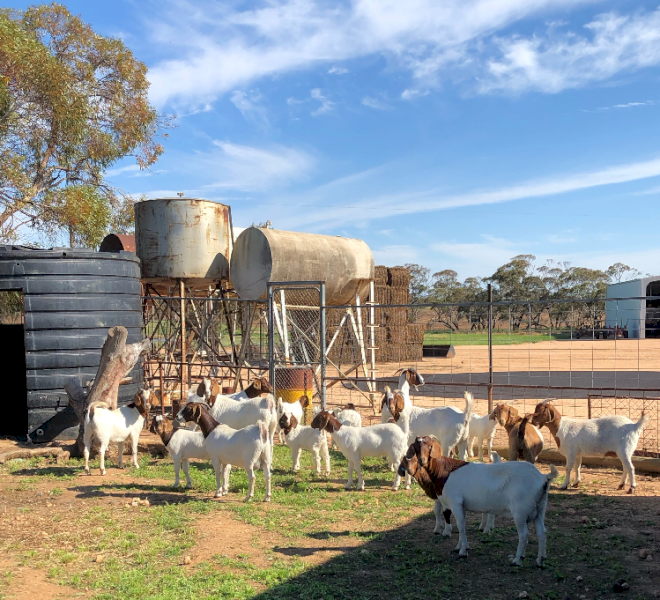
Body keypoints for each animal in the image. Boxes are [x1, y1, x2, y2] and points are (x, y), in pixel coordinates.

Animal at [398, 436, 558, 566]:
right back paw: (540, 560)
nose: (422, 461)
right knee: (542, 532)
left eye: (429, 446)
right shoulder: (461, 506)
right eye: (416, 446)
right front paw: (459, 546)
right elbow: (460, 526)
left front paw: (463, 551)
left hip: (520, 511)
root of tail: (543, 478)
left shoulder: (456, 503)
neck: (444, 471)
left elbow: (461, 527)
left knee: (524, 535)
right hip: (540, 509)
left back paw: (517, 560)